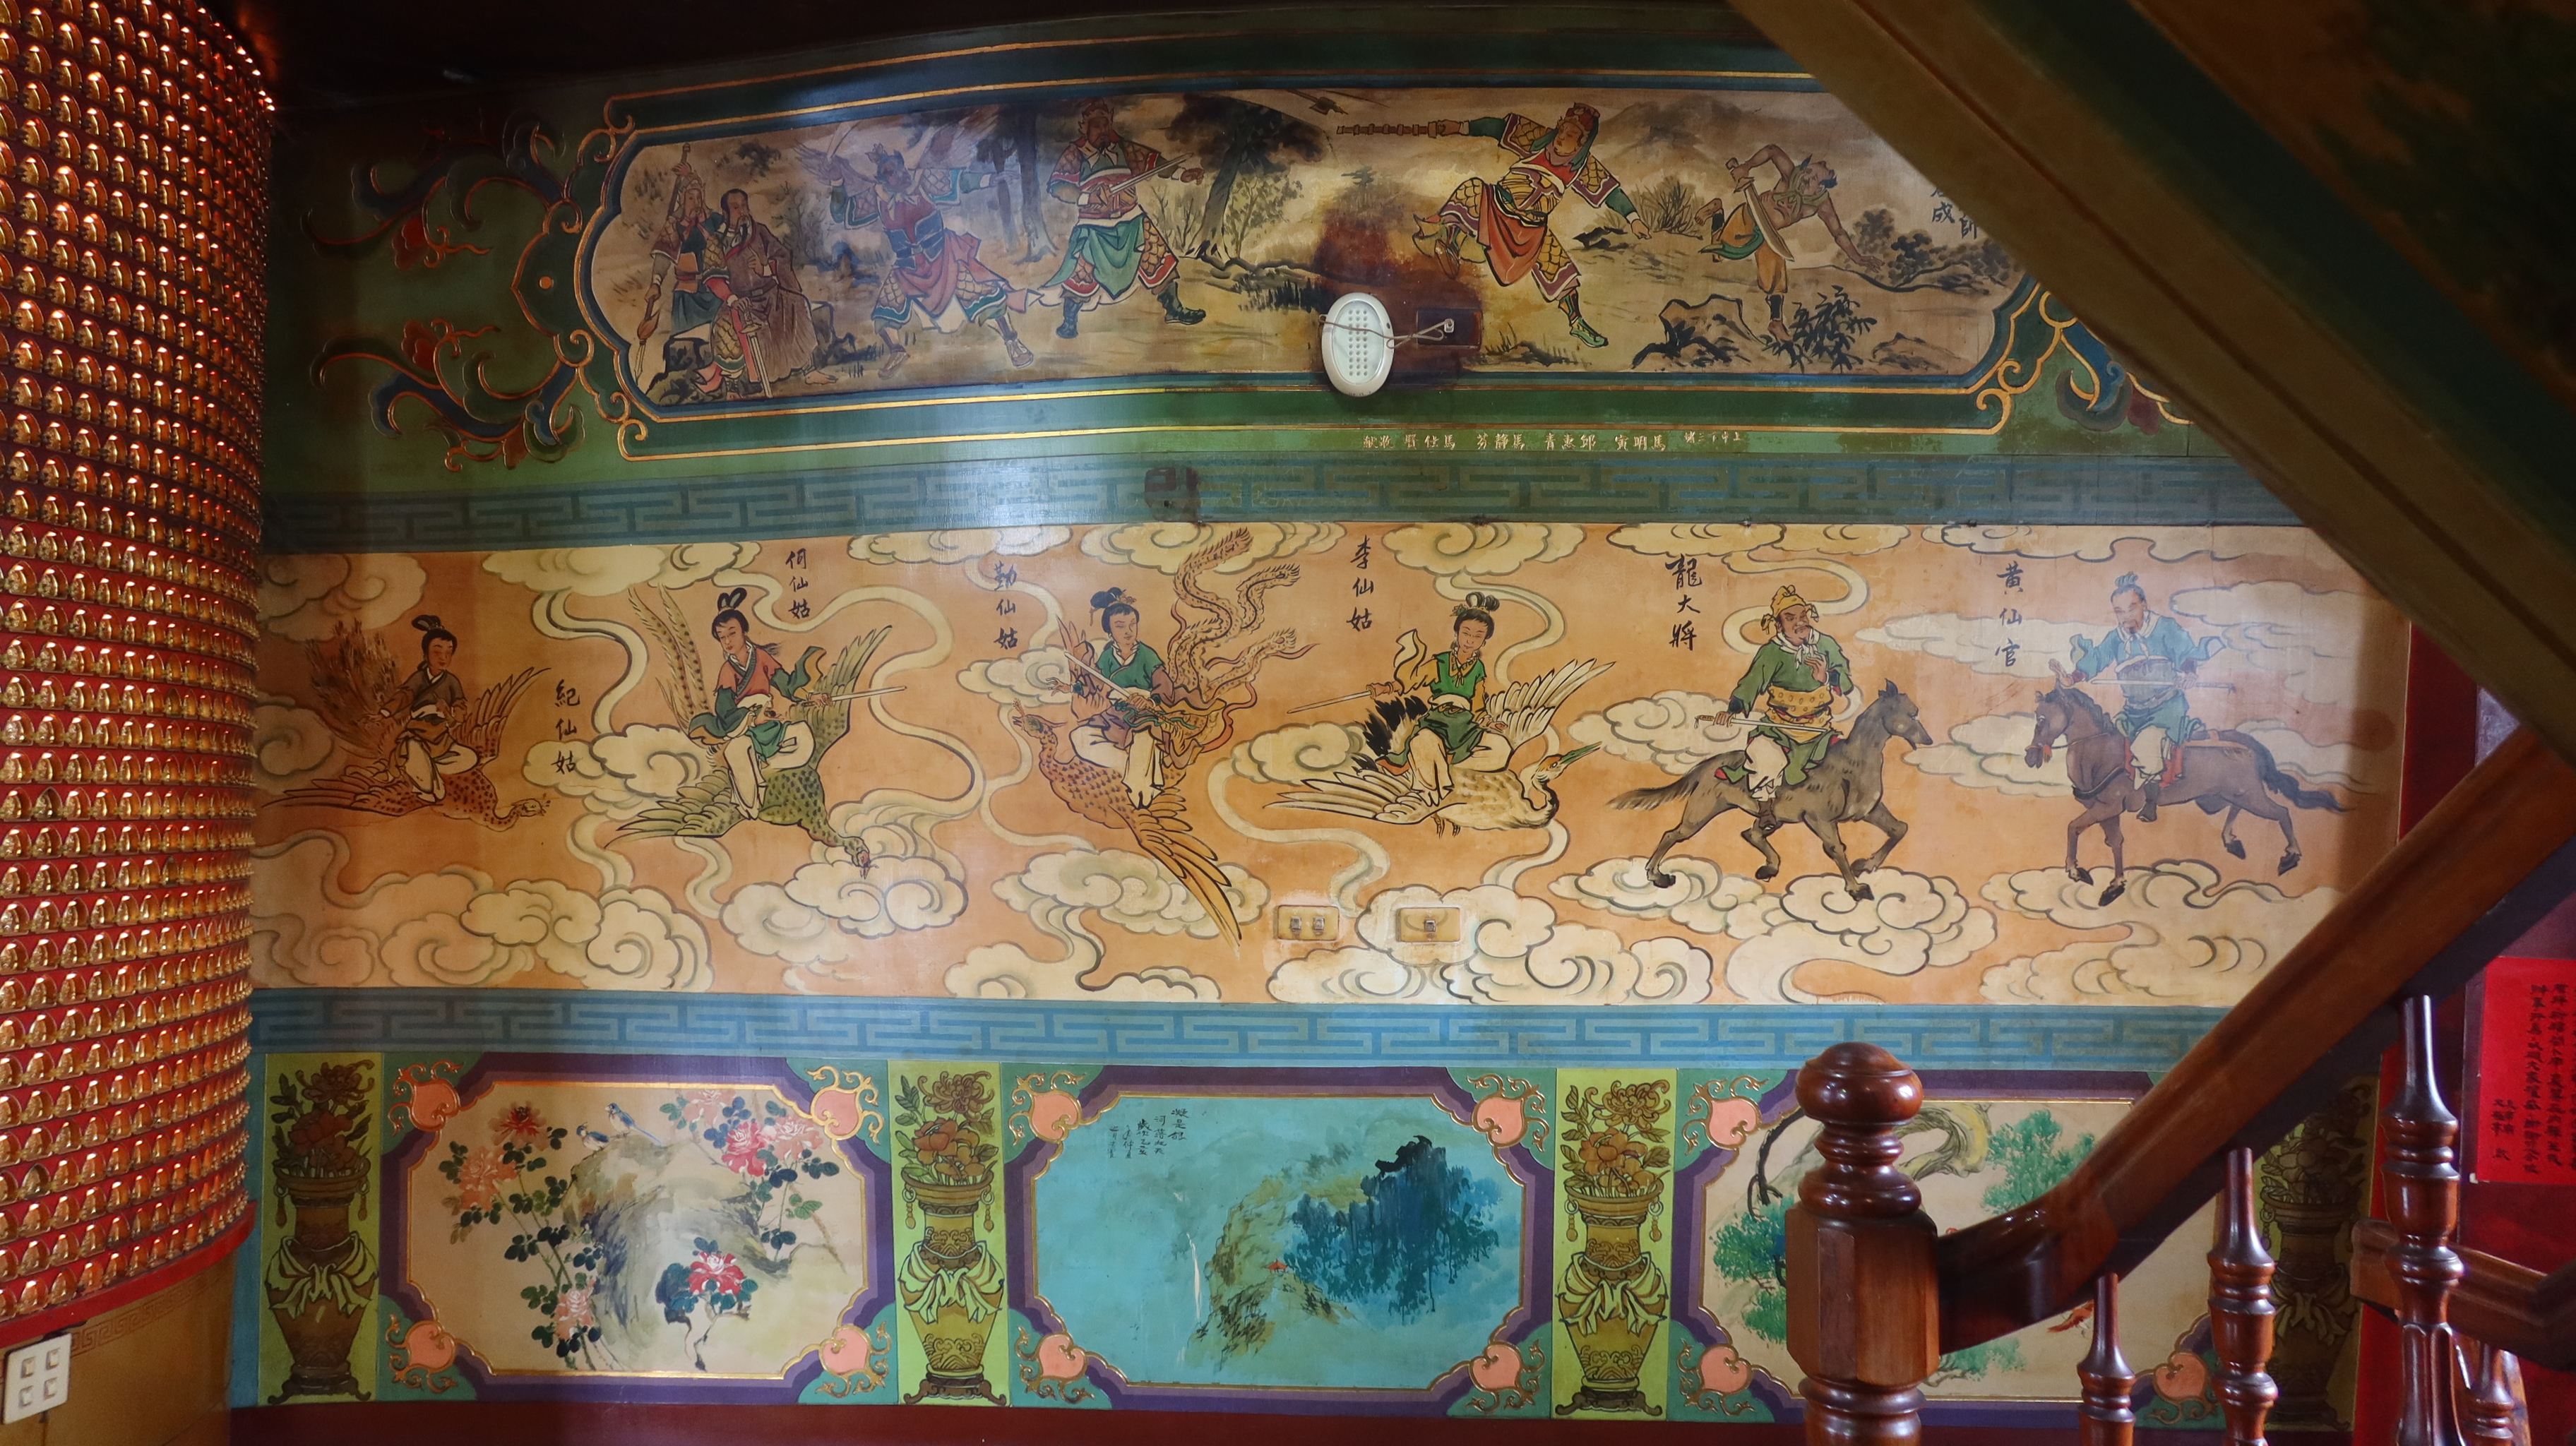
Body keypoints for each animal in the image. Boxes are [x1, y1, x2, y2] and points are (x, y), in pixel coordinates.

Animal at [1611, 680, 1933, 900]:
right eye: (1912, 714)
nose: (1928, 740)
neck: (1854, 762)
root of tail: (1711, 762)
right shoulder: (1820, 820)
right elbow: (1836, 849)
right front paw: (1856, 887)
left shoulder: (1869, 811)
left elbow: (1899, 829)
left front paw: (1867, 864)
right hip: (1701, 811)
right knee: (1672, 834)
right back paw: (1657, 875)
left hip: (1763, 816)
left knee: (1751, 833)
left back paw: (1770, 866)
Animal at [2025, 678, 2343, 905]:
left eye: (2042, 719)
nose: (2030, 757)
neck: (2100, 750)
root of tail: (2245, 742)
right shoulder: (2104, 810)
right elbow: (2113, 842)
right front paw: (2113, 885)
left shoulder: (2109, 807)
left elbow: (2073, 827)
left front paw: (2075, 870)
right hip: (2235, 793)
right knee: (2238, 808)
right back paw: (2231, 840)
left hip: (2251, 795)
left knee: (2282, 813)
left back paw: (2290, 856)